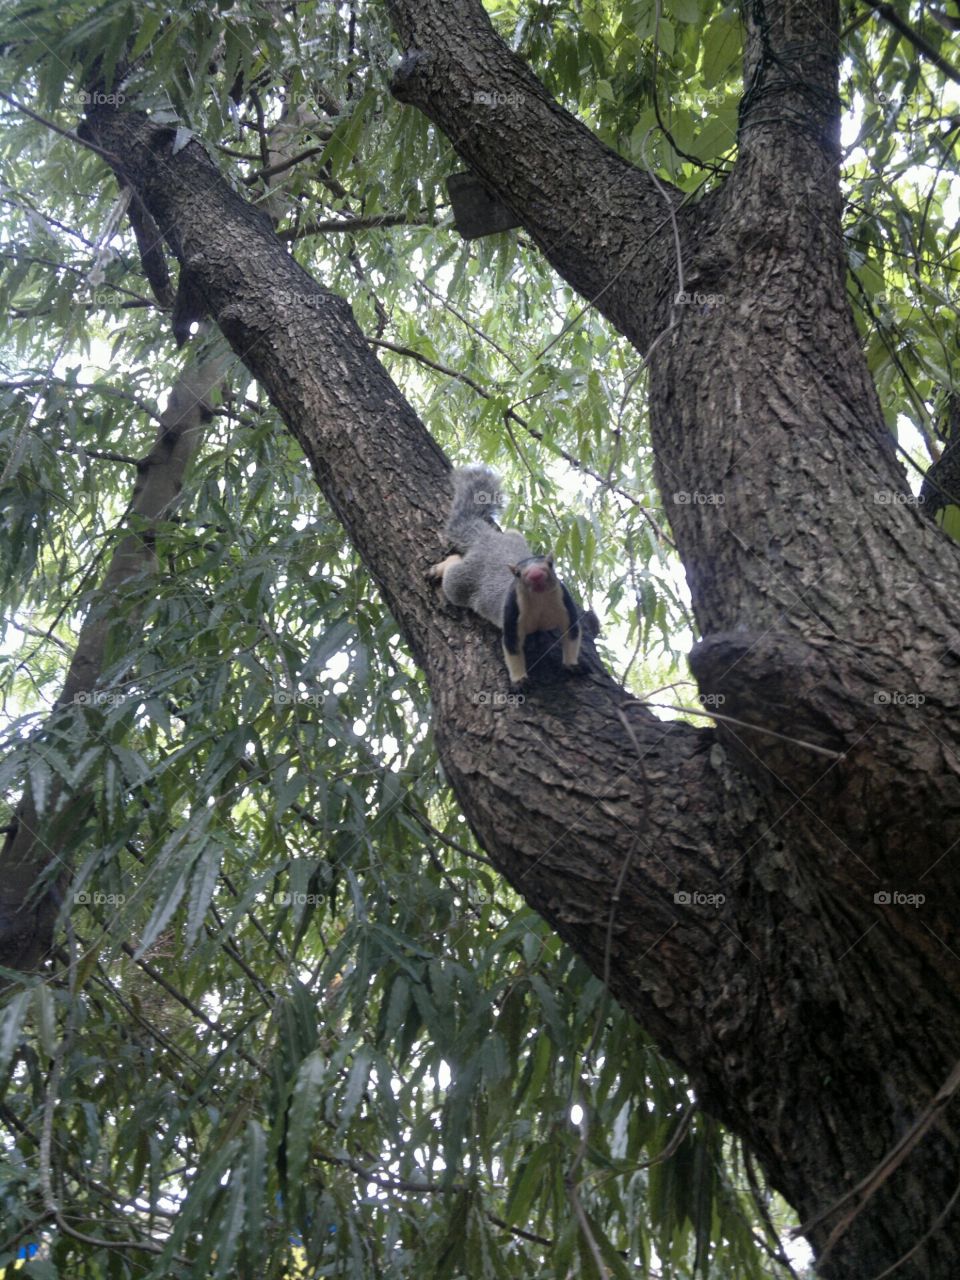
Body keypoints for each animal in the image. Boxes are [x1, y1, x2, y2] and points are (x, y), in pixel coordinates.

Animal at [430, 468, 586, 686]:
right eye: (518, 574)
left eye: (549, 564)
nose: (535, 575)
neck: (539, 599)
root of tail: (487, 539)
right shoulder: (512, 614)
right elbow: (512, 650)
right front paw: (520, 680)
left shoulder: (565, 604)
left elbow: (572, 635)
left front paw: (572, 664)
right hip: (461, 582)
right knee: (452, 573)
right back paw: (441, 567)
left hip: (514, 537)